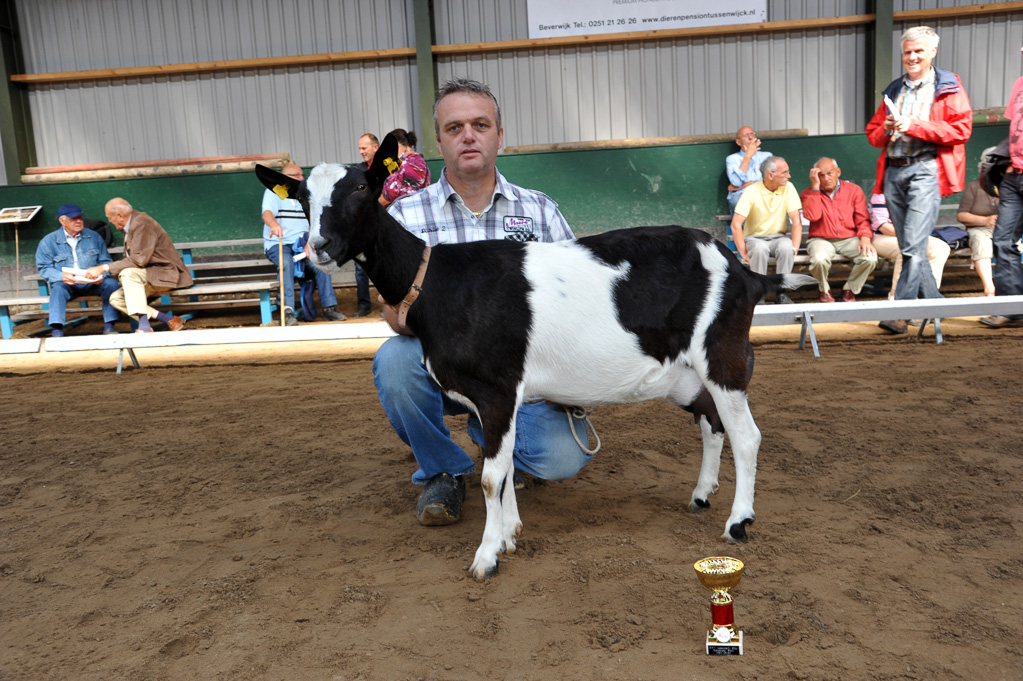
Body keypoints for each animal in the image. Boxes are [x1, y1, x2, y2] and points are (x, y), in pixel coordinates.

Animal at [257, 137, 814, 576]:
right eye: (302, 197)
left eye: (360, 188)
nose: (320, 246)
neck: (437, 280)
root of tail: (744, 271)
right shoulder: (497, 399)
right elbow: (499, 469)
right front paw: (508, 535)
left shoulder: (497, 388)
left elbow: (490, 476)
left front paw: (486, 557)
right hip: (685, 374)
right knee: (711, 425)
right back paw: (701, 495)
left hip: (724, 356)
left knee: (746, 435)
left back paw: (738, 523)